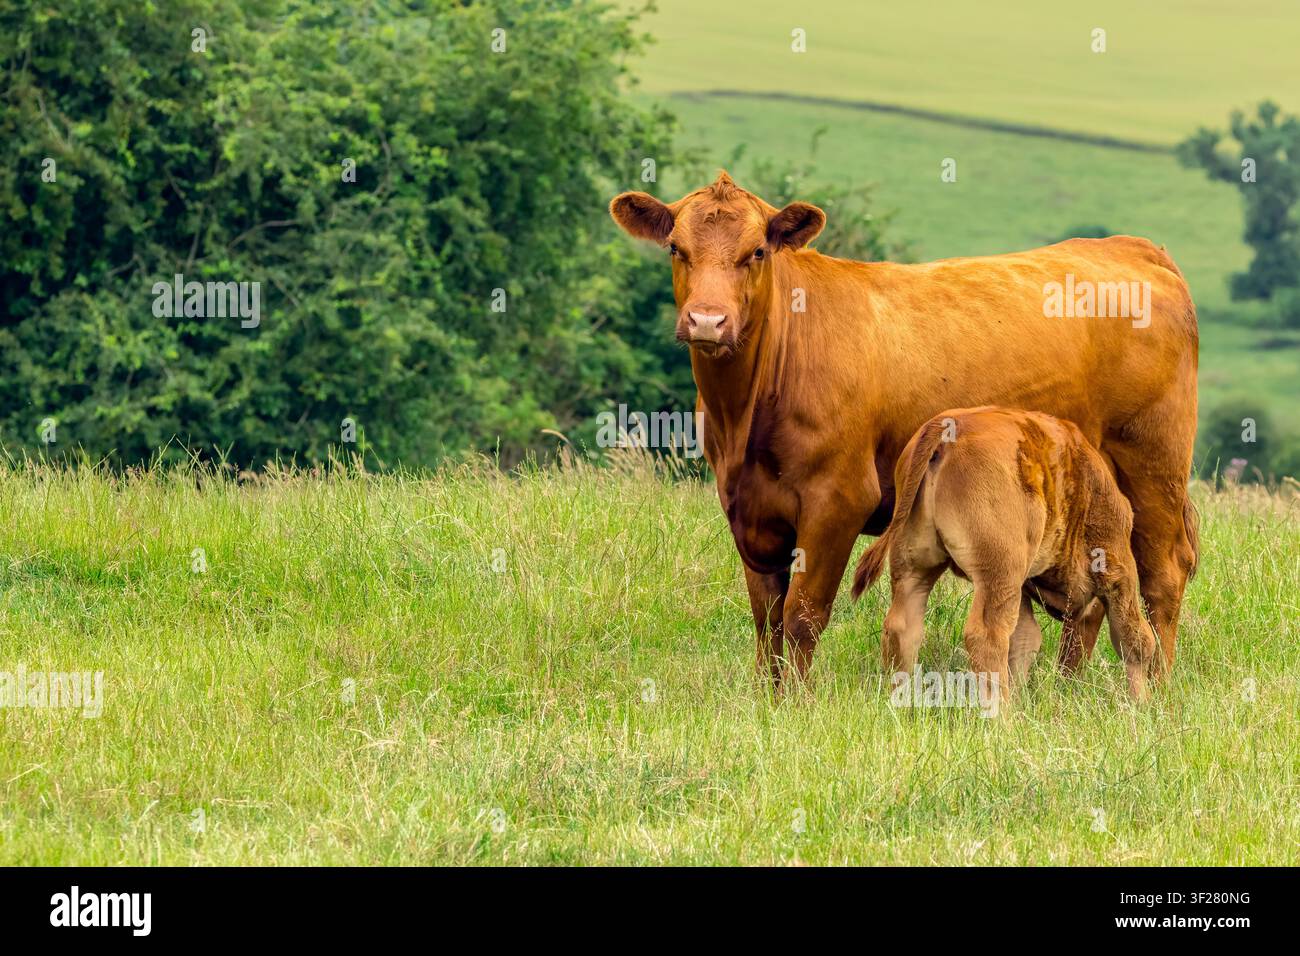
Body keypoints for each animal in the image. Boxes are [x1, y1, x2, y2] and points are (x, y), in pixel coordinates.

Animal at [850, 407, 1158, 703]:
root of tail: (946, 427)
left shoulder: (1019, 587)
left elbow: (1025, 639)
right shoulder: (1117, 568)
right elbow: (1135, 639)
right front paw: (1141, 704)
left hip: (915, 567)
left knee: (903, 627)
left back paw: (903, 701)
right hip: (998, 572)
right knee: (987, 637)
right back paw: (1001, 714)